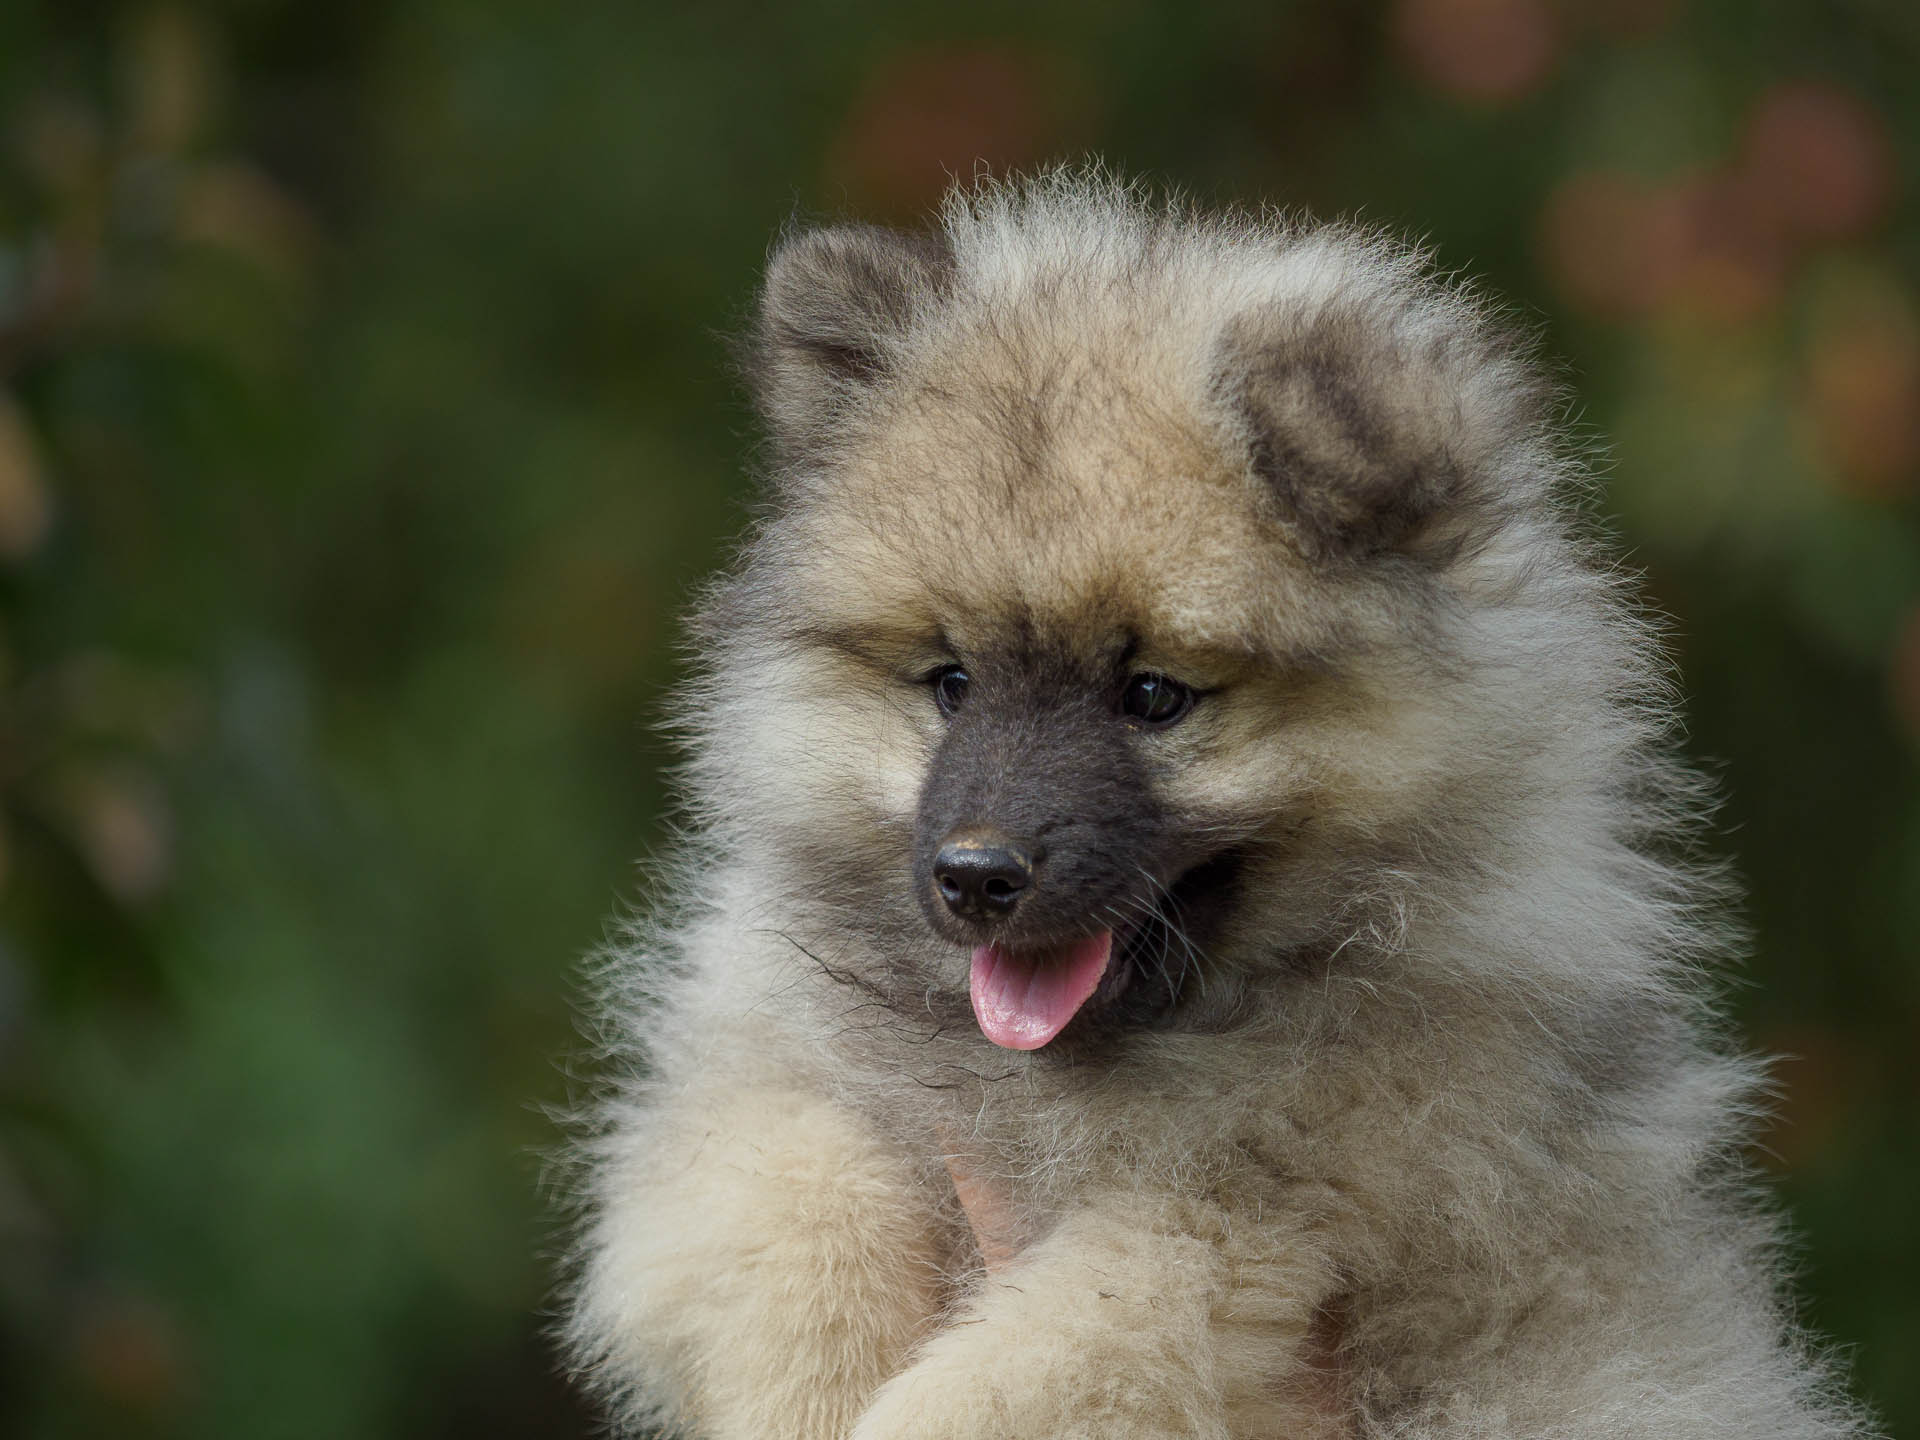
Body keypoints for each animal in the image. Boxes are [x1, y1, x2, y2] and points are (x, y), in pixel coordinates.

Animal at [560, 171, 1866, 1440]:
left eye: (1154, 696)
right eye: (952, 684)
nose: (976, 876)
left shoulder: (1241, 1233)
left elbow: (1026, 1365)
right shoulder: (733, 1103)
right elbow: (799, 1198)